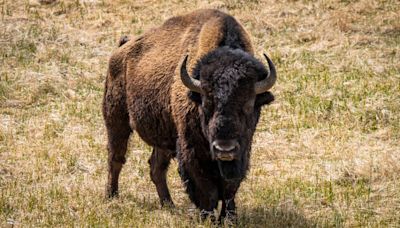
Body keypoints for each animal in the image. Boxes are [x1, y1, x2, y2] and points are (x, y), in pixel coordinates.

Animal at [102, 8, 276, 221]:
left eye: (249, 104)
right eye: (206, 102)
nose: (224, 149)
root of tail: (121, 49)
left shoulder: (242, 150)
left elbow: (230, 187)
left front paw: (229, 218)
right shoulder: (191, 148)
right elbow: (206, 187)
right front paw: (207, 217)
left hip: (164, 138)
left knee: (156, 167)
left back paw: (168, 204)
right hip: (116, 120)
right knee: (116, 158)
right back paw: (111, 196)